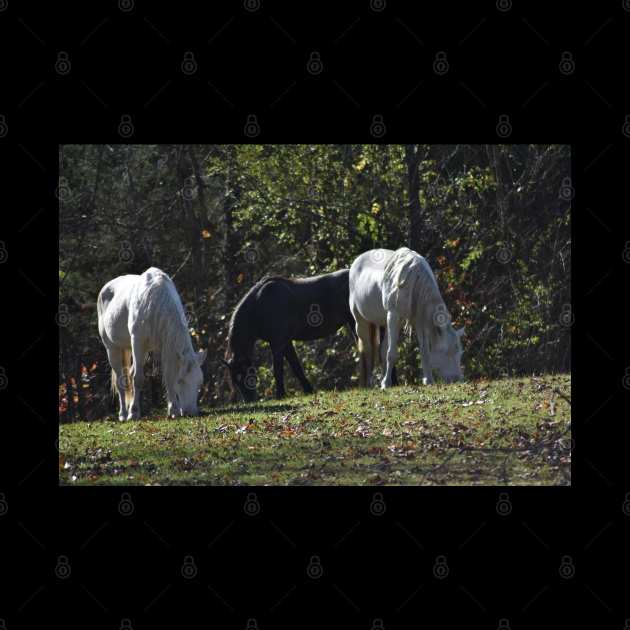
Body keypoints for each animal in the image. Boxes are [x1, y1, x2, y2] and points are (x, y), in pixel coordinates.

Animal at [97, 266, 207, 420]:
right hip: (112, 348)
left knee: (129, 374)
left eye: (199, 382)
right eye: (181, 380)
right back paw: (124, 414)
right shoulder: (137, 341)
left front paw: (173, 410)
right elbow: (138, 378)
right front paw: (133, 413)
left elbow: (168, 375)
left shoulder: (166, 345)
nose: (191, 412)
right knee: (120, 380)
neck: (154, 301)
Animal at [348, 248, 466, 388]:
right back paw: (371, 383)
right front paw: (386, 384)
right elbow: (392, 353)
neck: (415, 280)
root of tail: (357, 260)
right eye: (447, 352)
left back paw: (383, 379)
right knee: (367, 350)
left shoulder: (419, 321)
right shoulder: (393, 315)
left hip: (386, 322)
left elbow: (424, 351)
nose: (458, 379)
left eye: (460, 353)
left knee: (382, 349)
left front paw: (428, 380)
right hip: (361, 321)